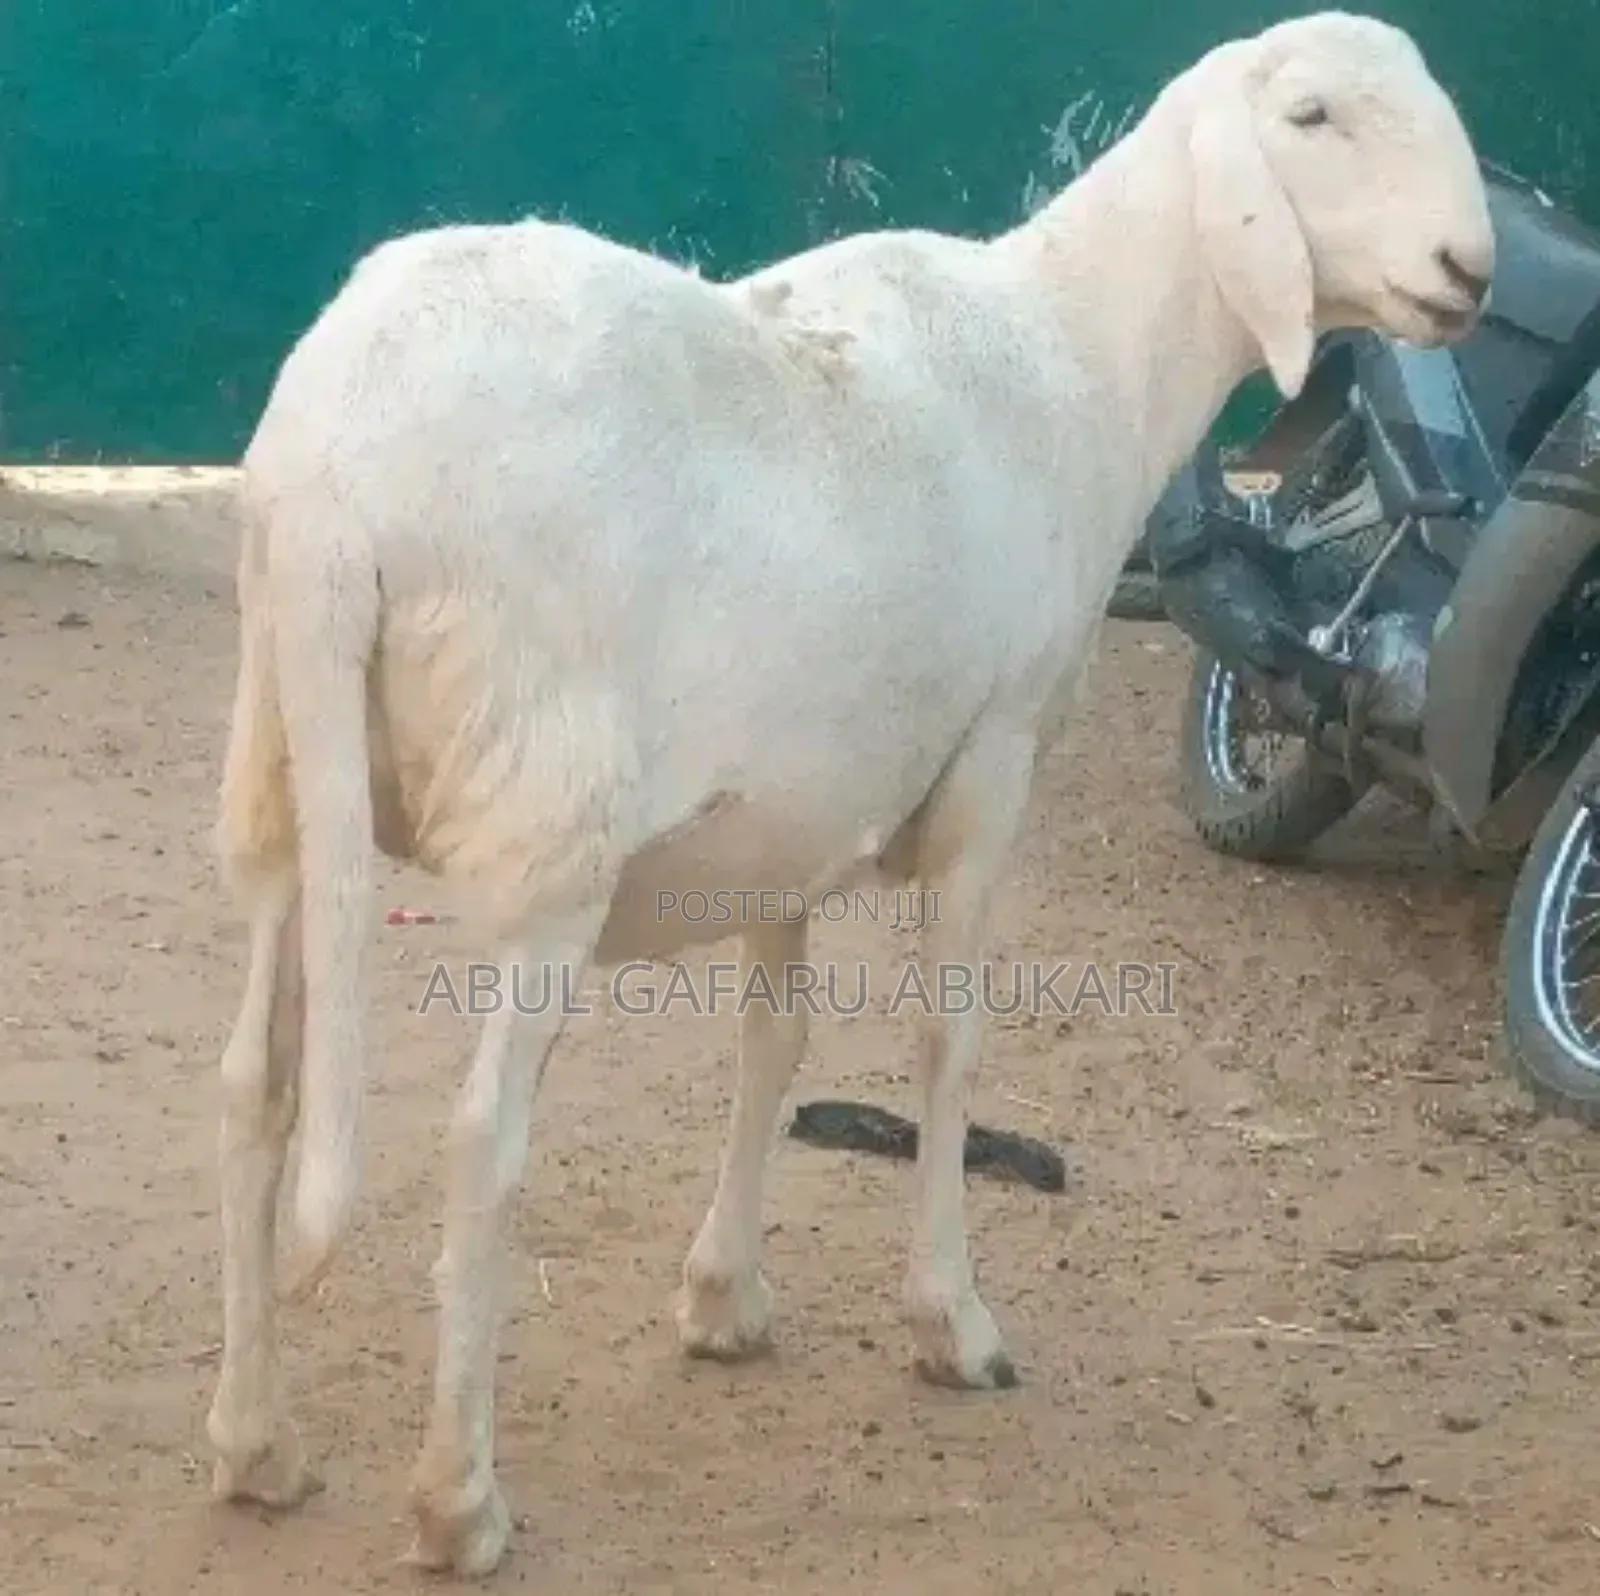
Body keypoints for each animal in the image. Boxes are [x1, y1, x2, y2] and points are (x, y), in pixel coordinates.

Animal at [204, 10, 1493, 1576]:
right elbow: (950, 1044)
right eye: (1308, 117)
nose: (1469, 270)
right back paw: (460, 1502)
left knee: (255, 1088)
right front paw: (955, 1320)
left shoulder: (794, 805)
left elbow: (777, 1042)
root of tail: (339, 475)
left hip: (285, 761)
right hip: (547, 815)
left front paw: (724, 1298)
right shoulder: (997, 756)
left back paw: (257, 1447)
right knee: (477, 1138)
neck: (1084, 359)